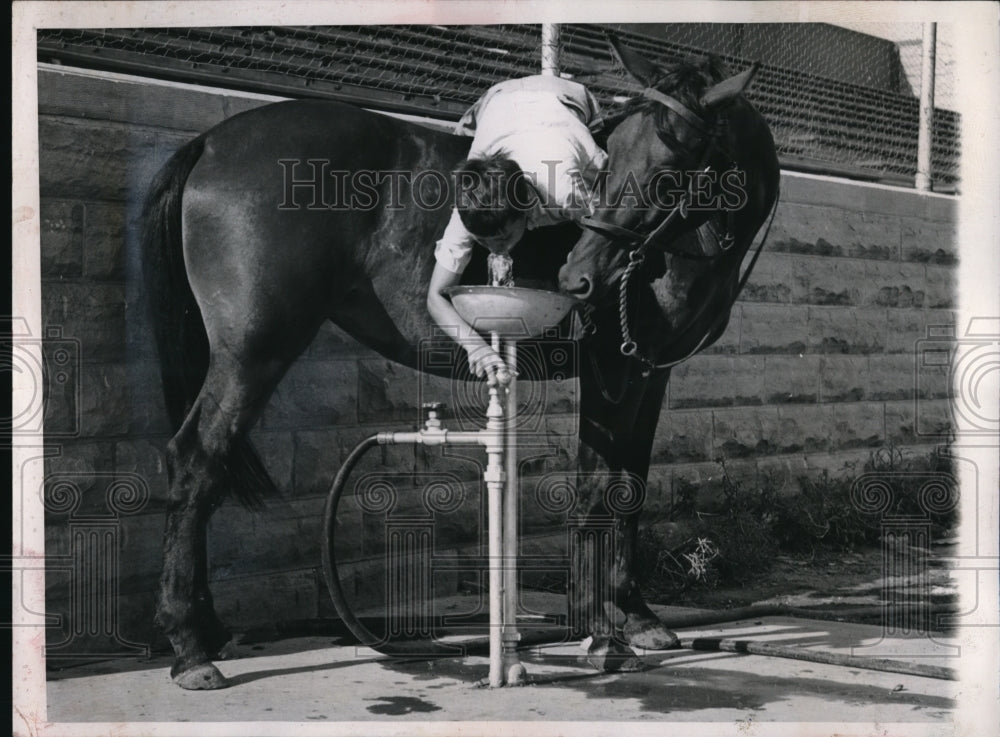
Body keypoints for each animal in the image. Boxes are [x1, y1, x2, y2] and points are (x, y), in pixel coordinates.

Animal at [141, 37, 780, 688]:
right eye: (612, 159)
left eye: (669, 170)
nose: (577, 279)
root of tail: (211, 142)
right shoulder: (613, 371)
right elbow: (599, 489)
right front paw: (602, 629)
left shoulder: (650, 372)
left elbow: (633, 483)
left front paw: (636, 616)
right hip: (254, 350)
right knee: (196, 461)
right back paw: (189, 647)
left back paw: (211, 633)